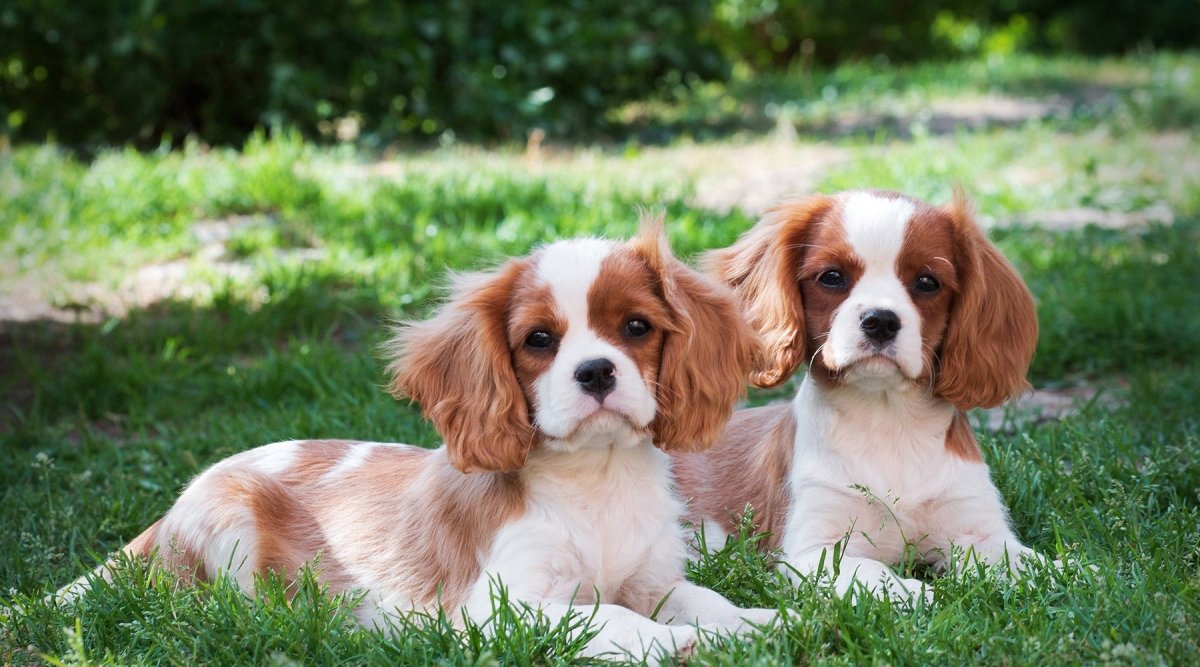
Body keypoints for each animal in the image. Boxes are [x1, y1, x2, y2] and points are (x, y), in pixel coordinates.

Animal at [60, 221, 777, 657]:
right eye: (539, 340)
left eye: (636, 327)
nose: (596, 371)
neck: (597, 479)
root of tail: (166, 514)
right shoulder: (502, 607)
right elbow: (609, 616)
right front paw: (669, 643)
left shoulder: (655, 580)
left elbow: (704, 599)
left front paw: (761, 622)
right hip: (229, 516)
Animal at [676, 188, 1051, 604]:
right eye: (832, 277)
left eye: (927, 282)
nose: (881, 320)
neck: (888, 417)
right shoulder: (813, 551)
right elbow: (874, 573)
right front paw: (919, 593)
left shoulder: (978, 528)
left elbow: (1031, 563)